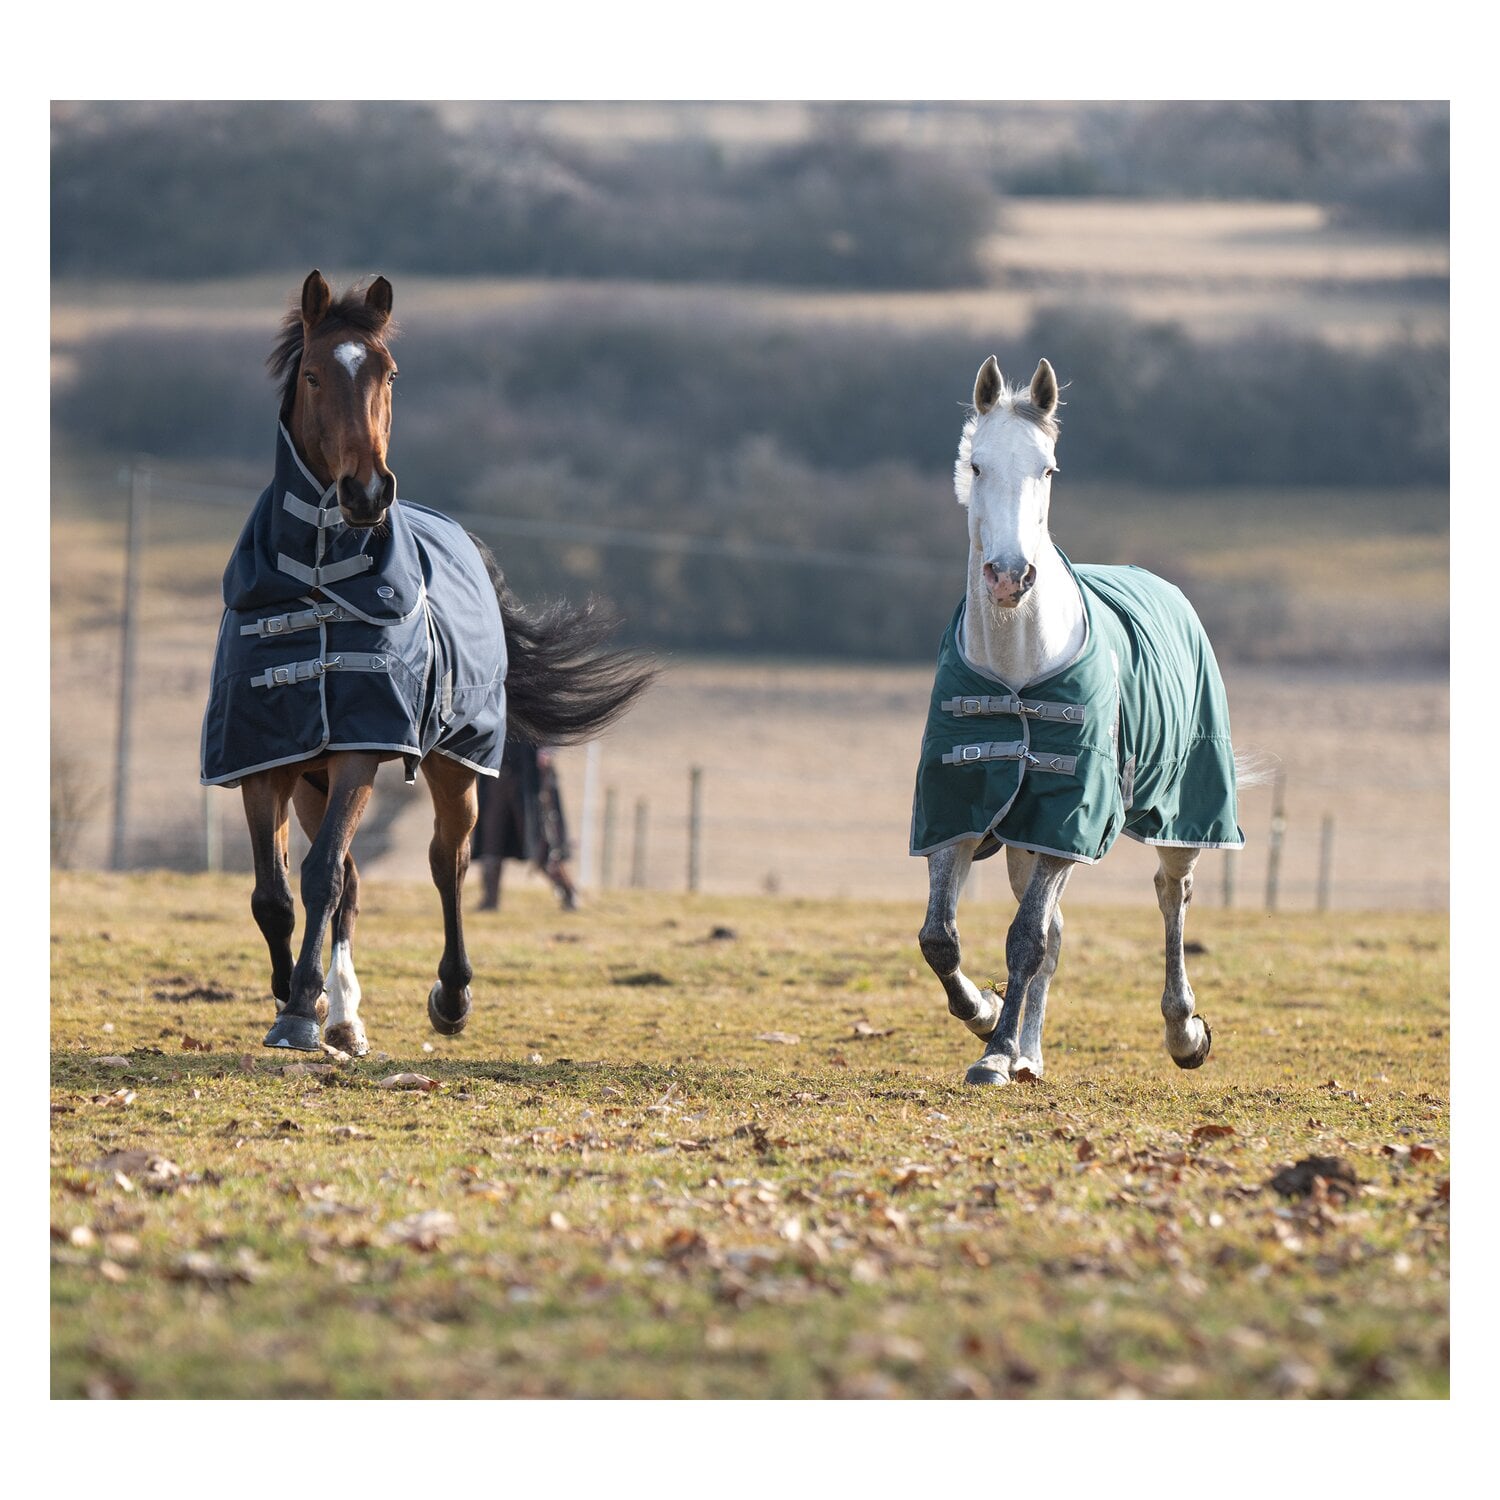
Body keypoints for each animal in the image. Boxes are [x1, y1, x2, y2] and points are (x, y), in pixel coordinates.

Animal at [201, 270, 654, 1055]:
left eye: (389, 374)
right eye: (314, 374)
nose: (366, 492)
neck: (315, 580)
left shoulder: (361, 748)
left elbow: (320, 878)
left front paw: (301, 1005)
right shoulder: (269, 759)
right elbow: (275, 894)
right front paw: (297, 1000)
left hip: (456, 766)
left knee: (449, 863)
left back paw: (451, 995)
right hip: (318, 779)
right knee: (354, 883)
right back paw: (346, 1017)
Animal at [912, 356, 1246, 1086]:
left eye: (1048, 468)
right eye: (976, 464)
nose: (1009, 577)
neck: (1016, 666)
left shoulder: (1071, 821)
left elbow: (1024, 938)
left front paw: (995, 1051)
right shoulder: (963, 809)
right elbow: (941, 938)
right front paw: (987, 1020)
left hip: (1181, 811)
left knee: (1171, 896)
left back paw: (1182, 1032)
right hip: (1023, 838)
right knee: (1055, 931)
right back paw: (1029, 1052)